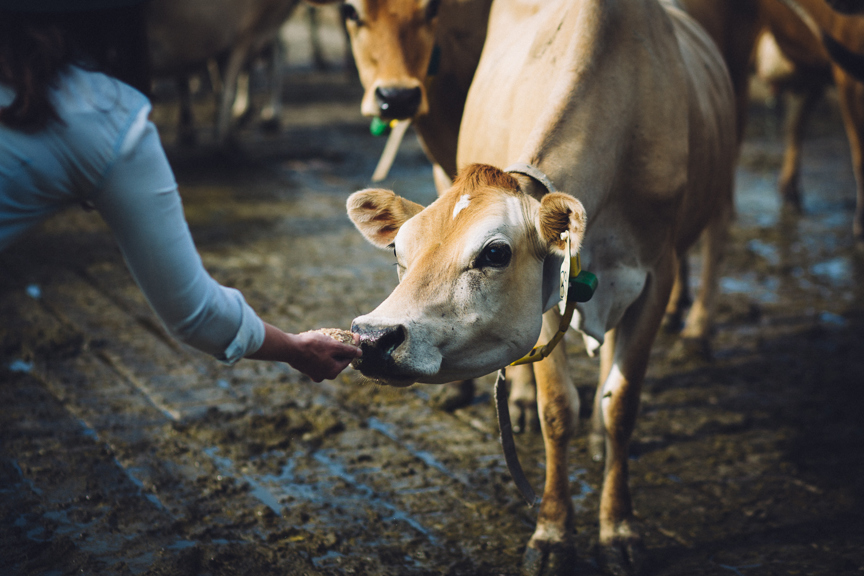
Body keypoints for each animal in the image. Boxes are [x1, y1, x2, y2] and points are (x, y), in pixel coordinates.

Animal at [346, 0, 737, 573]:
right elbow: (558, 409)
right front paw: (553, 531)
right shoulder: (553, 294)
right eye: (399, 251)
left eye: (494, 252)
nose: (373, 338)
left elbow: (622, 405)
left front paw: (618, 526)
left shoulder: (656, 276)